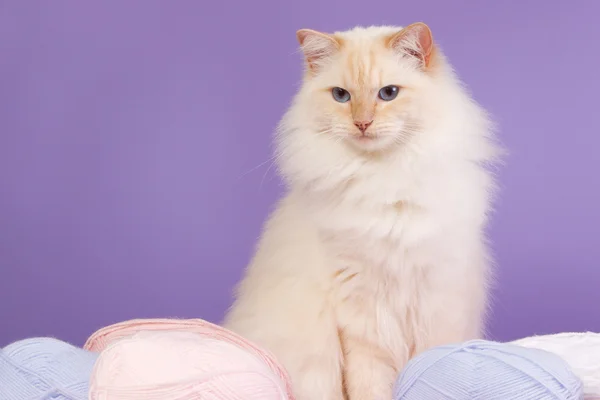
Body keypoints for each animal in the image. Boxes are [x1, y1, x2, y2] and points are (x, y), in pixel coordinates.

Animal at [223, 22, 504, 400]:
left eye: (389, 93)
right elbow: (369, 384)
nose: (362, 123)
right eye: (341, 96)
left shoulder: (437, 300)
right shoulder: (362, 316)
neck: (384, 180)